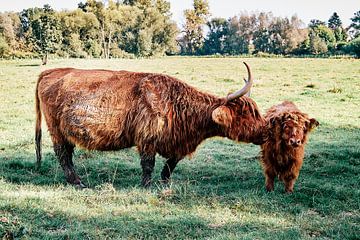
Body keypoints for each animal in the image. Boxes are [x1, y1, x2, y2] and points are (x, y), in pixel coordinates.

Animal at [35, 62, 264, 188]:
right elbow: (148, 165)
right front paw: (146, 185)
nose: (264, 132)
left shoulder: (176, 144)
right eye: (246, 114)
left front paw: (165, 182)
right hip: (56, 130)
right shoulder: (147, 139)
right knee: (63, 155)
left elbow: (170, 165)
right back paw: (78, 182)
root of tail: (50, 72)